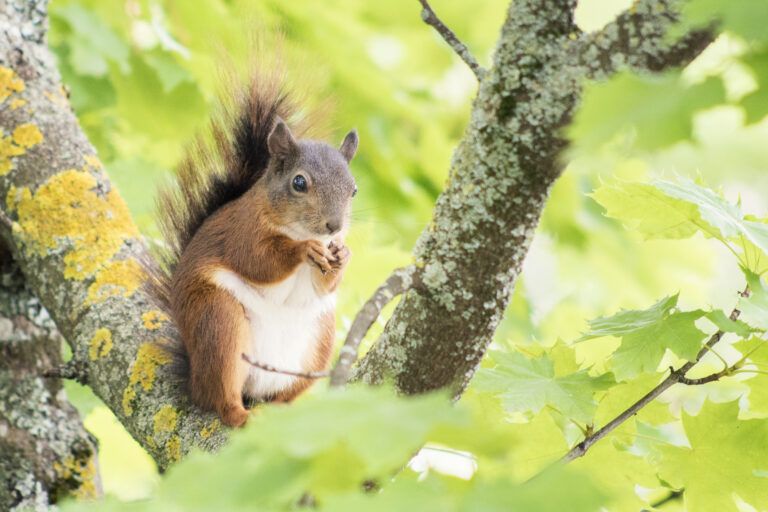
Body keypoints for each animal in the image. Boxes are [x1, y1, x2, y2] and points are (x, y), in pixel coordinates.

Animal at [150, 70, 360, 426]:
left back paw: (281, 410)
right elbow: (258, 261)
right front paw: (303, 249)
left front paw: (342, 256)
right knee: (223, 396)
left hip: (318, 344)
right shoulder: (242, 231)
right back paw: (239, 414)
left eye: (354, 190)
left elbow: (325, 284)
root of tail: (195, 382)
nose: (334, 226)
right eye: (299, 182)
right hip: (219, 323)